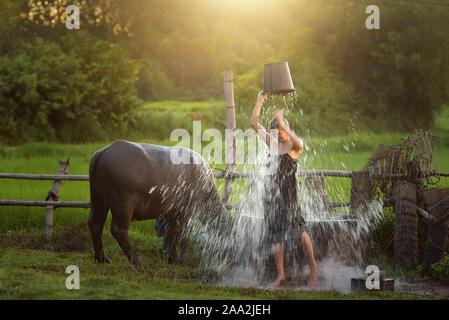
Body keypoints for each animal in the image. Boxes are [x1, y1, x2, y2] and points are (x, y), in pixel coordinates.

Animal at [87, 139, 231, 266]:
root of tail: (104, 152)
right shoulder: (189, 209)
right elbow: (184, 233)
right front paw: (183, 261)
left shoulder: (170, 211)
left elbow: (172, 232)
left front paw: (172, 259)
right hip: (123, 203)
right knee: (118, 230)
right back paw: (138, 262)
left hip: (98, 198)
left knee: (95, 224)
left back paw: (102, 259)